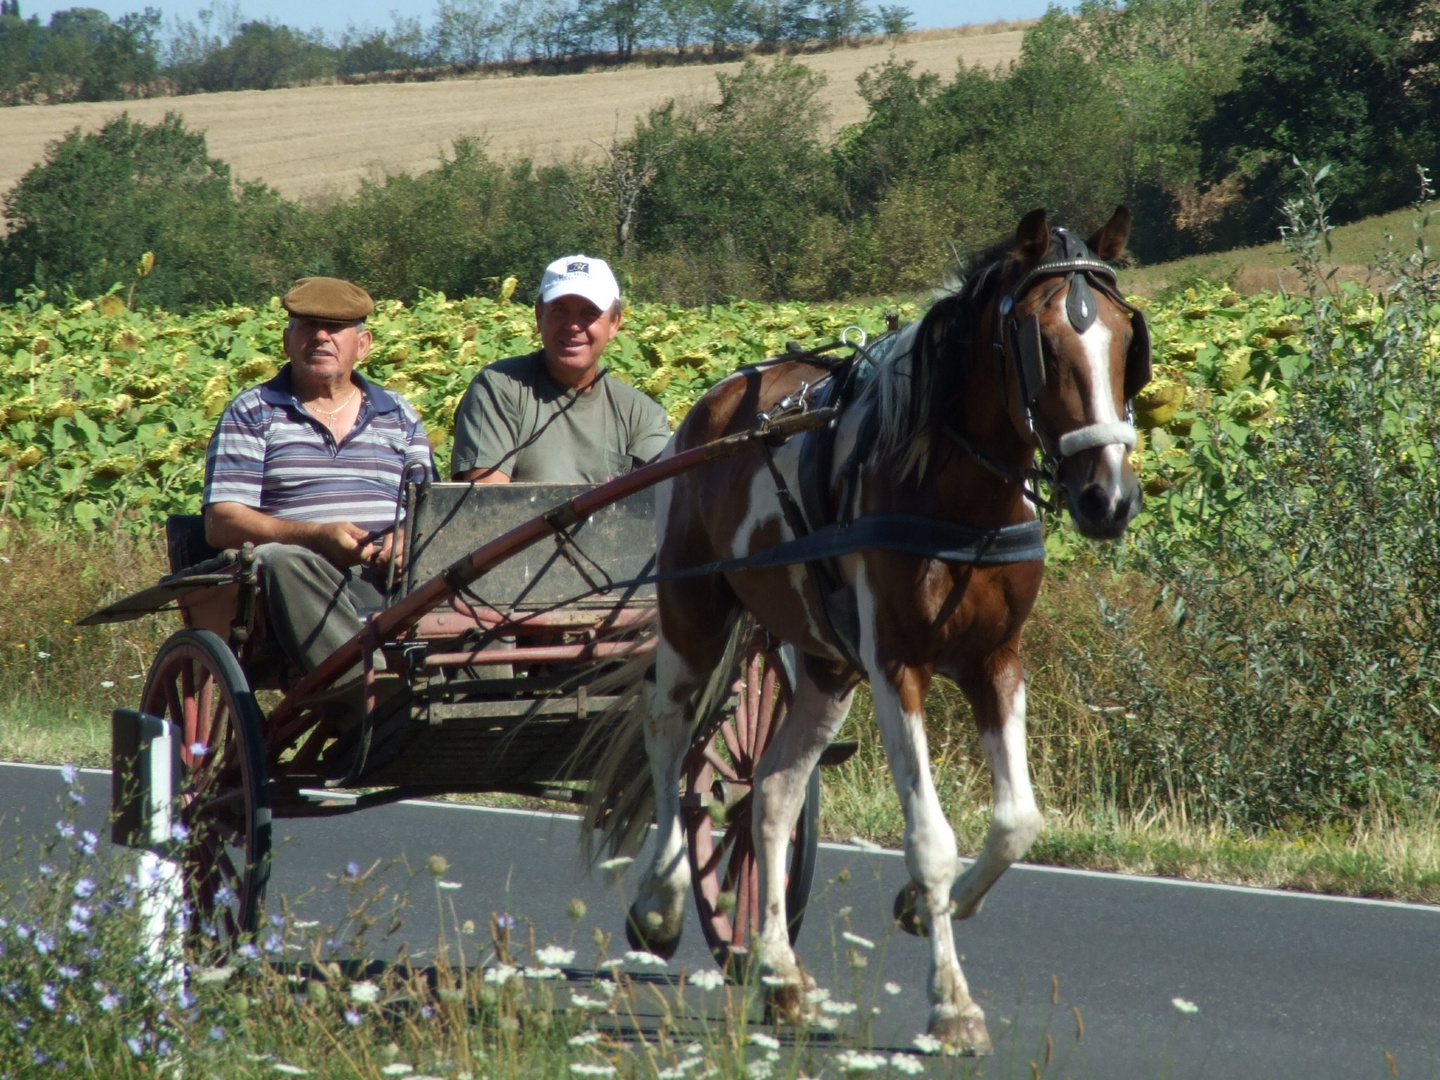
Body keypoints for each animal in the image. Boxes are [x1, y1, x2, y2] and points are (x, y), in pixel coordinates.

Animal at [584, 207, 1146, 1054]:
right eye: (1042, 347)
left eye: (1124, 339)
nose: (1108, 497)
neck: (957, 493)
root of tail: (713, 406)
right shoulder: (897, 666)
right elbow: (930, 840)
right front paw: (952, 1003)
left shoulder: (995, 661)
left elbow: (1018, 820)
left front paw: (928, 909)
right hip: (696, 617)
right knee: (668, 734)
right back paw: (662, 900)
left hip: (825, 670)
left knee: (770, 795)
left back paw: (781, 976)